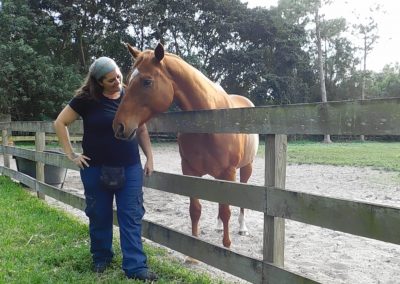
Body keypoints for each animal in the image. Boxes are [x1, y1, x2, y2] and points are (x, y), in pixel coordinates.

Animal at [111, 42, 260, 248]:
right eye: (127, 80)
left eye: (147, 81)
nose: (119, 126)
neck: (209, 122)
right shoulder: (189, 172)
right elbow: (195, 210)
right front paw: (193, 249)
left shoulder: (229, 173)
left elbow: (226, 211)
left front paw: (226, 246)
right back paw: (218, 227)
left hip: (246, 168)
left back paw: (242, 228)